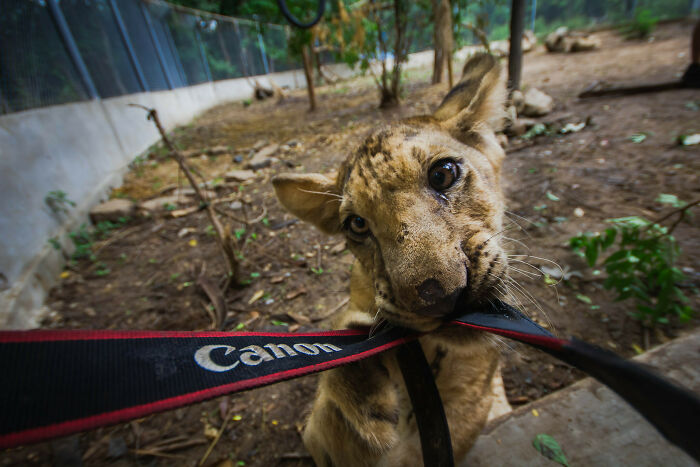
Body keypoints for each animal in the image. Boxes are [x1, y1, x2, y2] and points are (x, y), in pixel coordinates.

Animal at [272, 53, 511, 466]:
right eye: (357, 224)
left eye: (443, 174)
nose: (439, 297)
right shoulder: (316, 437)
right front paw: (360, 377)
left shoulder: (471, 398)